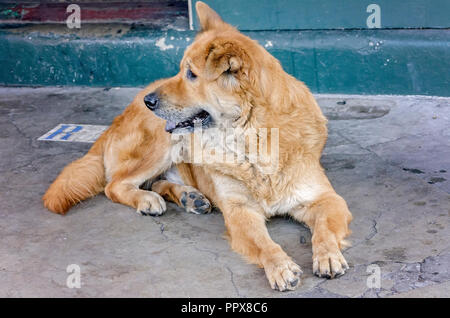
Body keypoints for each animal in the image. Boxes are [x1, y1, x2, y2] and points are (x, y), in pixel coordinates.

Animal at [43, 1, 352, 290]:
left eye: (191, 74)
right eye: (181, 71)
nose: (149, 101)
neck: (252, 138)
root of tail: (119, 116)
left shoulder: (326, 199)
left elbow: (324, 229)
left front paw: (327, 255)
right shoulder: (240, 213)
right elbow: (265, 244)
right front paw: (280, 266)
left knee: (155, 182)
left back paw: (187, 197)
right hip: (161, 144)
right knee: (115, 185)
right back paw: (147, 199)